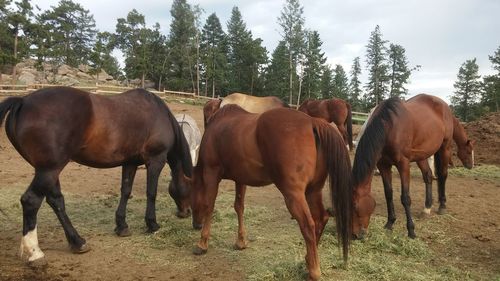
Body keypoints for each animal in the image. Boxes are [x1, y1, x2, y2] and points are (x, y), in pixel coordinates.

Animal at [0, 86, 192, 264]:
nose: (186, 212)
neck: (158, 113)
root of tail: (23, 101)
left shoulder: (130, 163)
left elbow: (126, 191)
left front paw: (121, 226)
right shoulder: (156, 160)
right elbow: (151, 193)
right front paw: (152, 224)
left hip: (47, 171)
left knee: (56, 201)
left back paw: (77, 242)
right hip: (49, 169)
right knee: (31, 201)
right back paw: (35, 253)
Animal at [189, 105, 354, 280]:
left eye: (189, 194)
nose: (196, 224)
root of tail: (312, 121)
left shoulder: (211, 173)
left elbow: (209, 205)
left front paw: (202, 243)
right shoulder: (240, 179)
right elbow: (239, 207)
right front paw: (241, 241)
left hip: (294, 195)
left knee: (308, 225)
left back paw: (314, 271)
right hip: (313, 191)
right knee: (320, 219)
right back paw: (308, 261)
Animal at [352, 94, 472, 238]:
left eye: (356, 207)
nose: (356, 235)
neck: (389, 127)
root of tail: (445, 106)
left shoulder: (403, 164)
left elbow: (405, 197)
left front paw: (411, 230)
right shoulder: (383, 165)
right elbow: (388, 194)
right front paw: (390, 223)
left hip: (445, 147)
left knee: (443, 175)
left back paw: (442, 206)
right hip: (423, 154)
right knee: (428, 176)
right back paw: (427, 208)